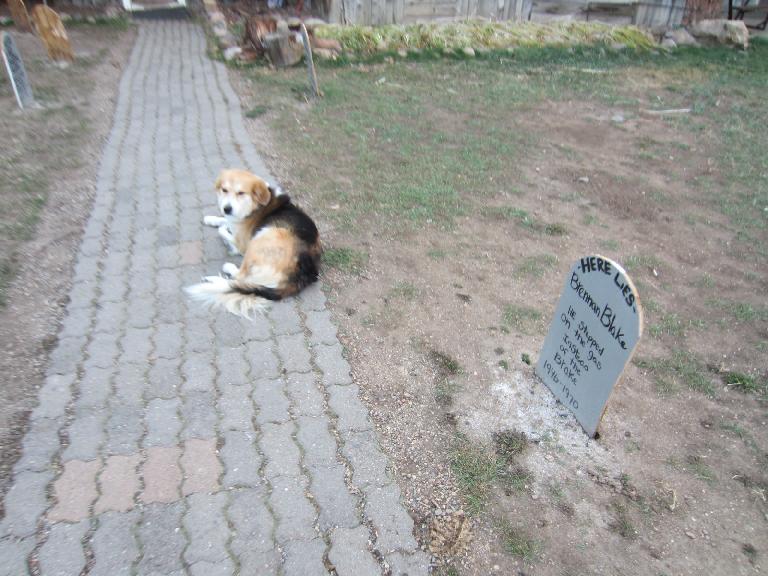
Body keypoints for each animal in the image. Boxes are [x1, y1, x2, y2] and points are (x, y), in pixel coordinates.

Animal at [185, 169, 320, 318]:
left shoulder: (242, 242)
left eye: (241, 193)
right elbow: (225, 221)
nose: (226, 209)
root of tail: (303, 274)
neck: (254, 205)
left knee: (240, 276)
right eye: (224, 190)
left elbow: (223, 230)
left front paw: (227, 239)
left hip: (263, 236)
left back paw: (223, 272)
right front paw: (211, 219)